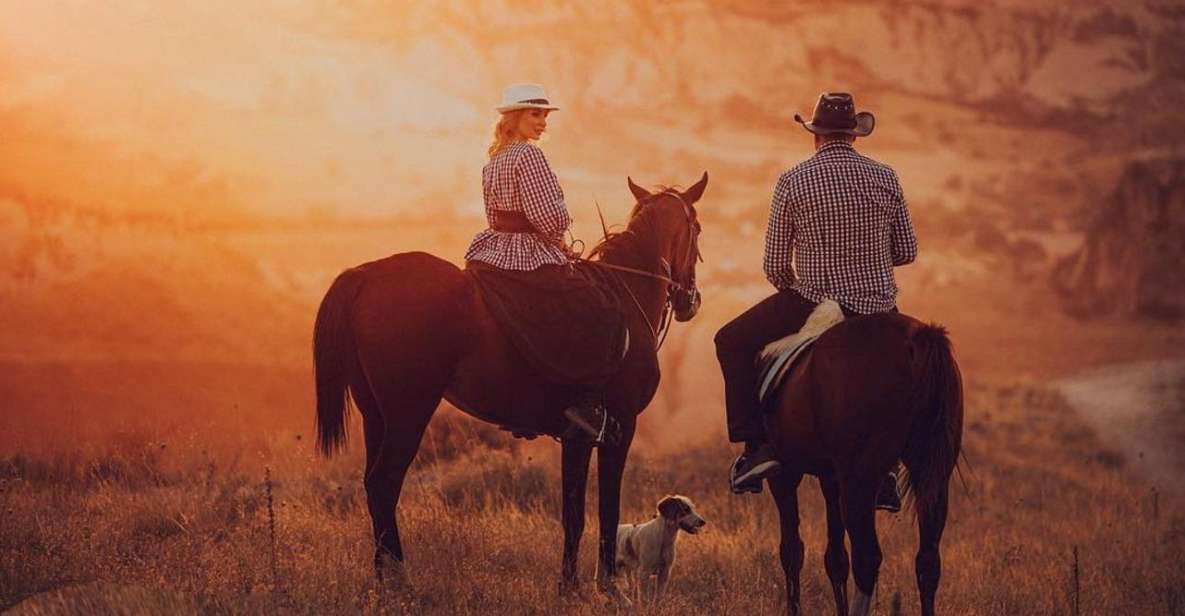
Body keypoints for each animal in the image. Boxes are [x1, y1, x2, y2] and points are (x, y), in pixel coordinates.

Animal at [310, 171, 706, 597]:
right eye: (697, 228)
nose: (690, 299)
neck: (627, 295)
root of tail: (364, 276)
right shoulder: (620, 427)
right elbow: (606, 509)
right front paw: (605, 586)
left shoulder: (577, 438)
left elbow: (573, 512)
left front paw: (568, 586)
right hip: (408, 412)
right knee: (385, 483)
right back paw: (402, 580)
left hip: (376, 414)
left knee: (372, 485)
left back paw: (382, 579)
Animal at [767, 315, 962, 611]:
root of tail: (917, 339)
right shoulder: (831, 476)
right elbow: (835, 558)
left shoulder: (784, 475)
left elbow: (791, 551)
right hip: (932, 476)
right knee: (927, 561)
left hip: (859, 482)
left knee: (867, 558)